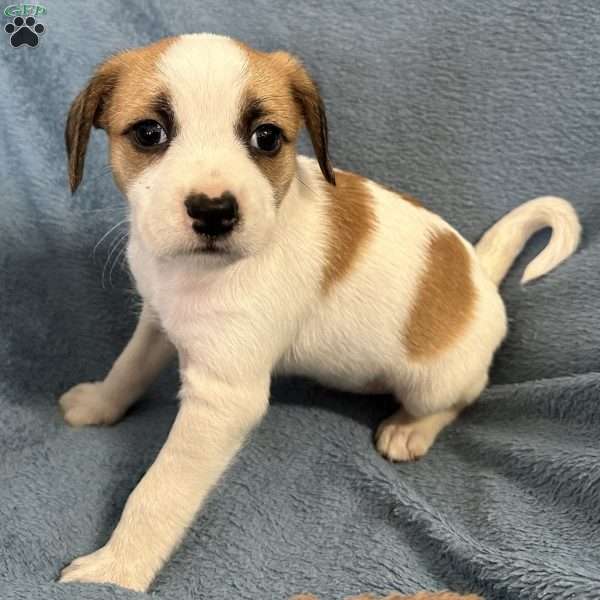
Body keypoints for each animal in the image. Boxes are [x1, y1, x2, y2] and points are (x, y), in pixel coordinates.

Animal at [57, 34, 580, 592]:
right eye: (149, 133)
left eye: (266, 138)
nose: (214, 211)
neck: (195, 273)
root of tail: (480, 273)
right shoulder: (157, 321)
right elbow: (128, 368)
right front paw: (99, 404)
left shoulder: (222, 401)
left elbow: (159, 490)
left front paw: (117, 569)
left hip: (432, 382)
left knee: (461, 398)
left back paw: (410, 429)